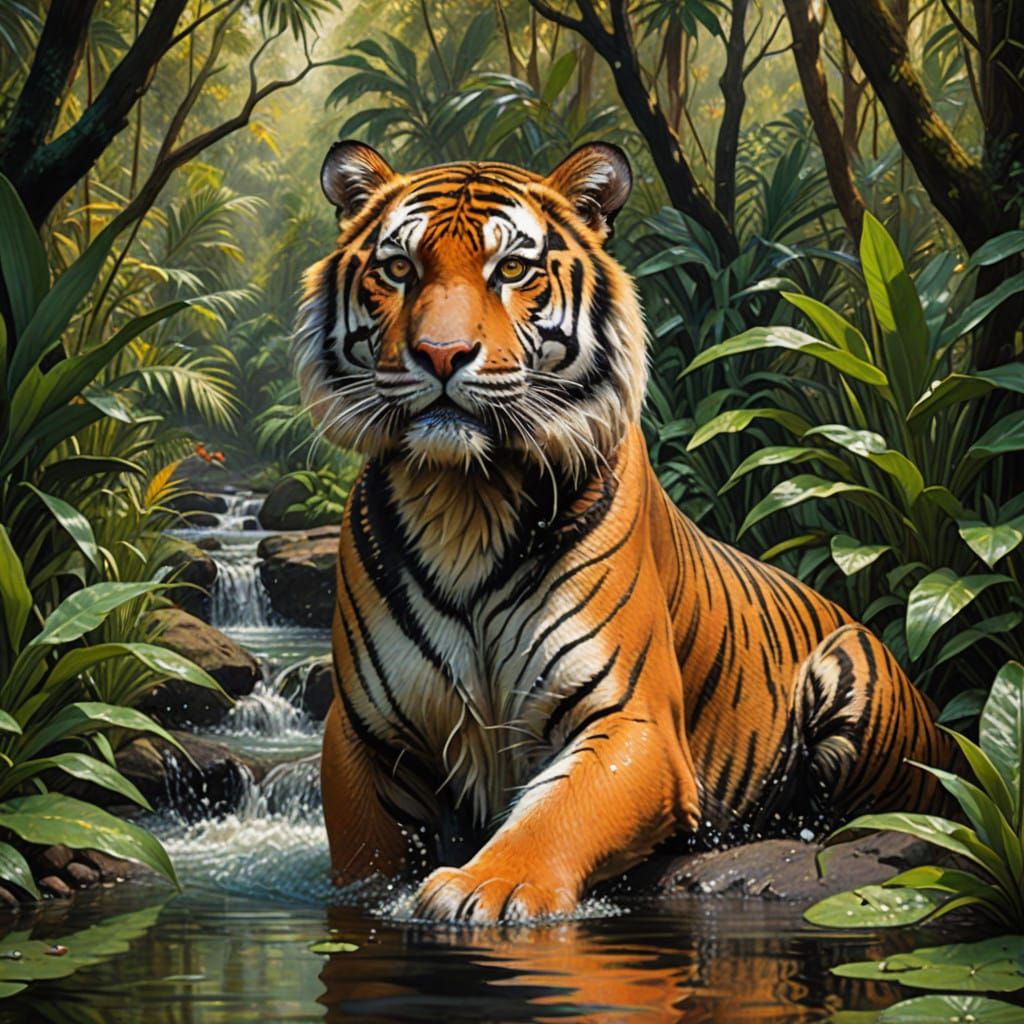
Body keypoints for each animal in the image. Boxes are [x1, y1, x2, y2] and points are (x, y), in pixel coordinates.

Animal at [294, 139, 953, 924]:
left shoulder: (631, 719)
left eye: (510, 270)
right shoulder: (362, 737)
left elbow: (555, 814)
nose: (442, 354)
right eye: (400, 269)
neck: (467, 501)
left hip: (852, 670)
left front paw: (488, 885)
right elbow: (366, 856)